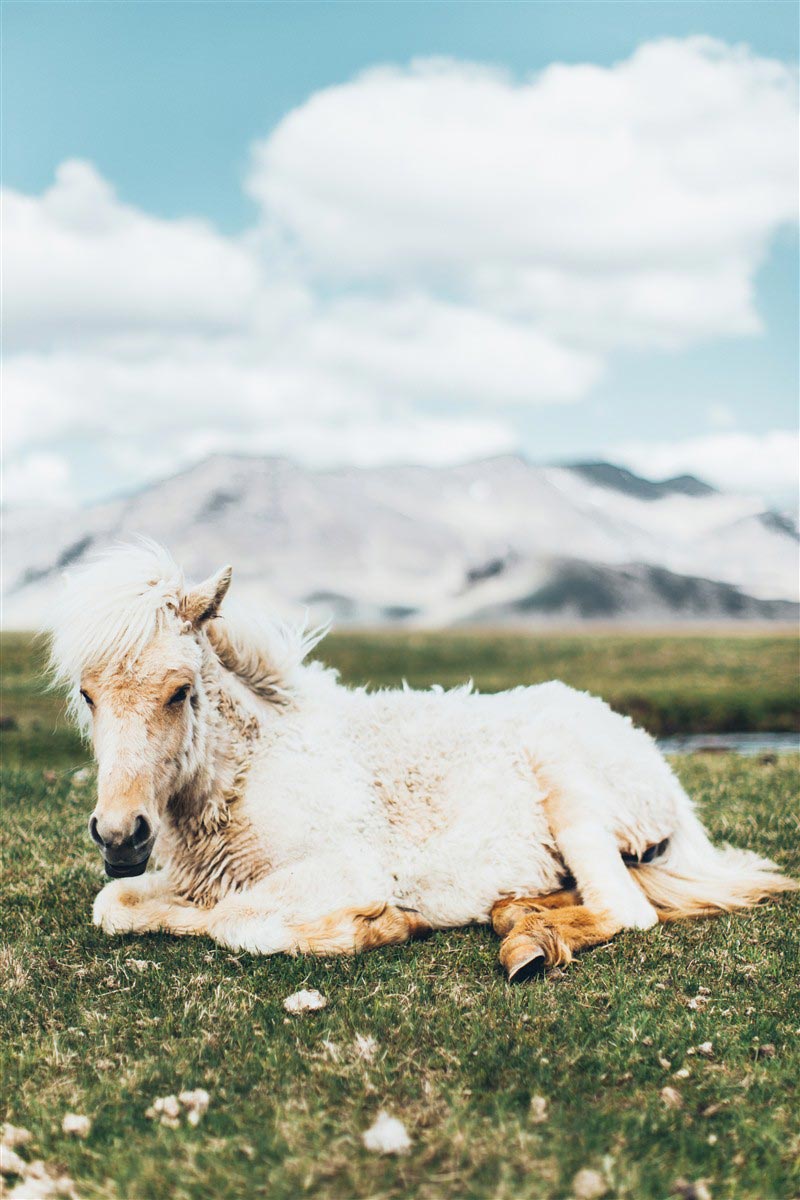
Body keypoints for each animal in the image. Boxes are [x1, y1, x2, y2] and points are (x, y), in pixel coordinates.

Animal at [48, 544, 796, 974]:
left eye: (180, 691)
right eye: (87, 694)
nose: (120, 834)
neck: (251, 771)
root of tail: (654, 763)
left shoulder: (343, 867)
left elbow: (238, 921)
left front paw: (382, 924)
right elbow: (114, 903)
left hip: (571, 792)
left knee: (625, 908)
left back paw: (526, 941)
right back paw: (516, 916)